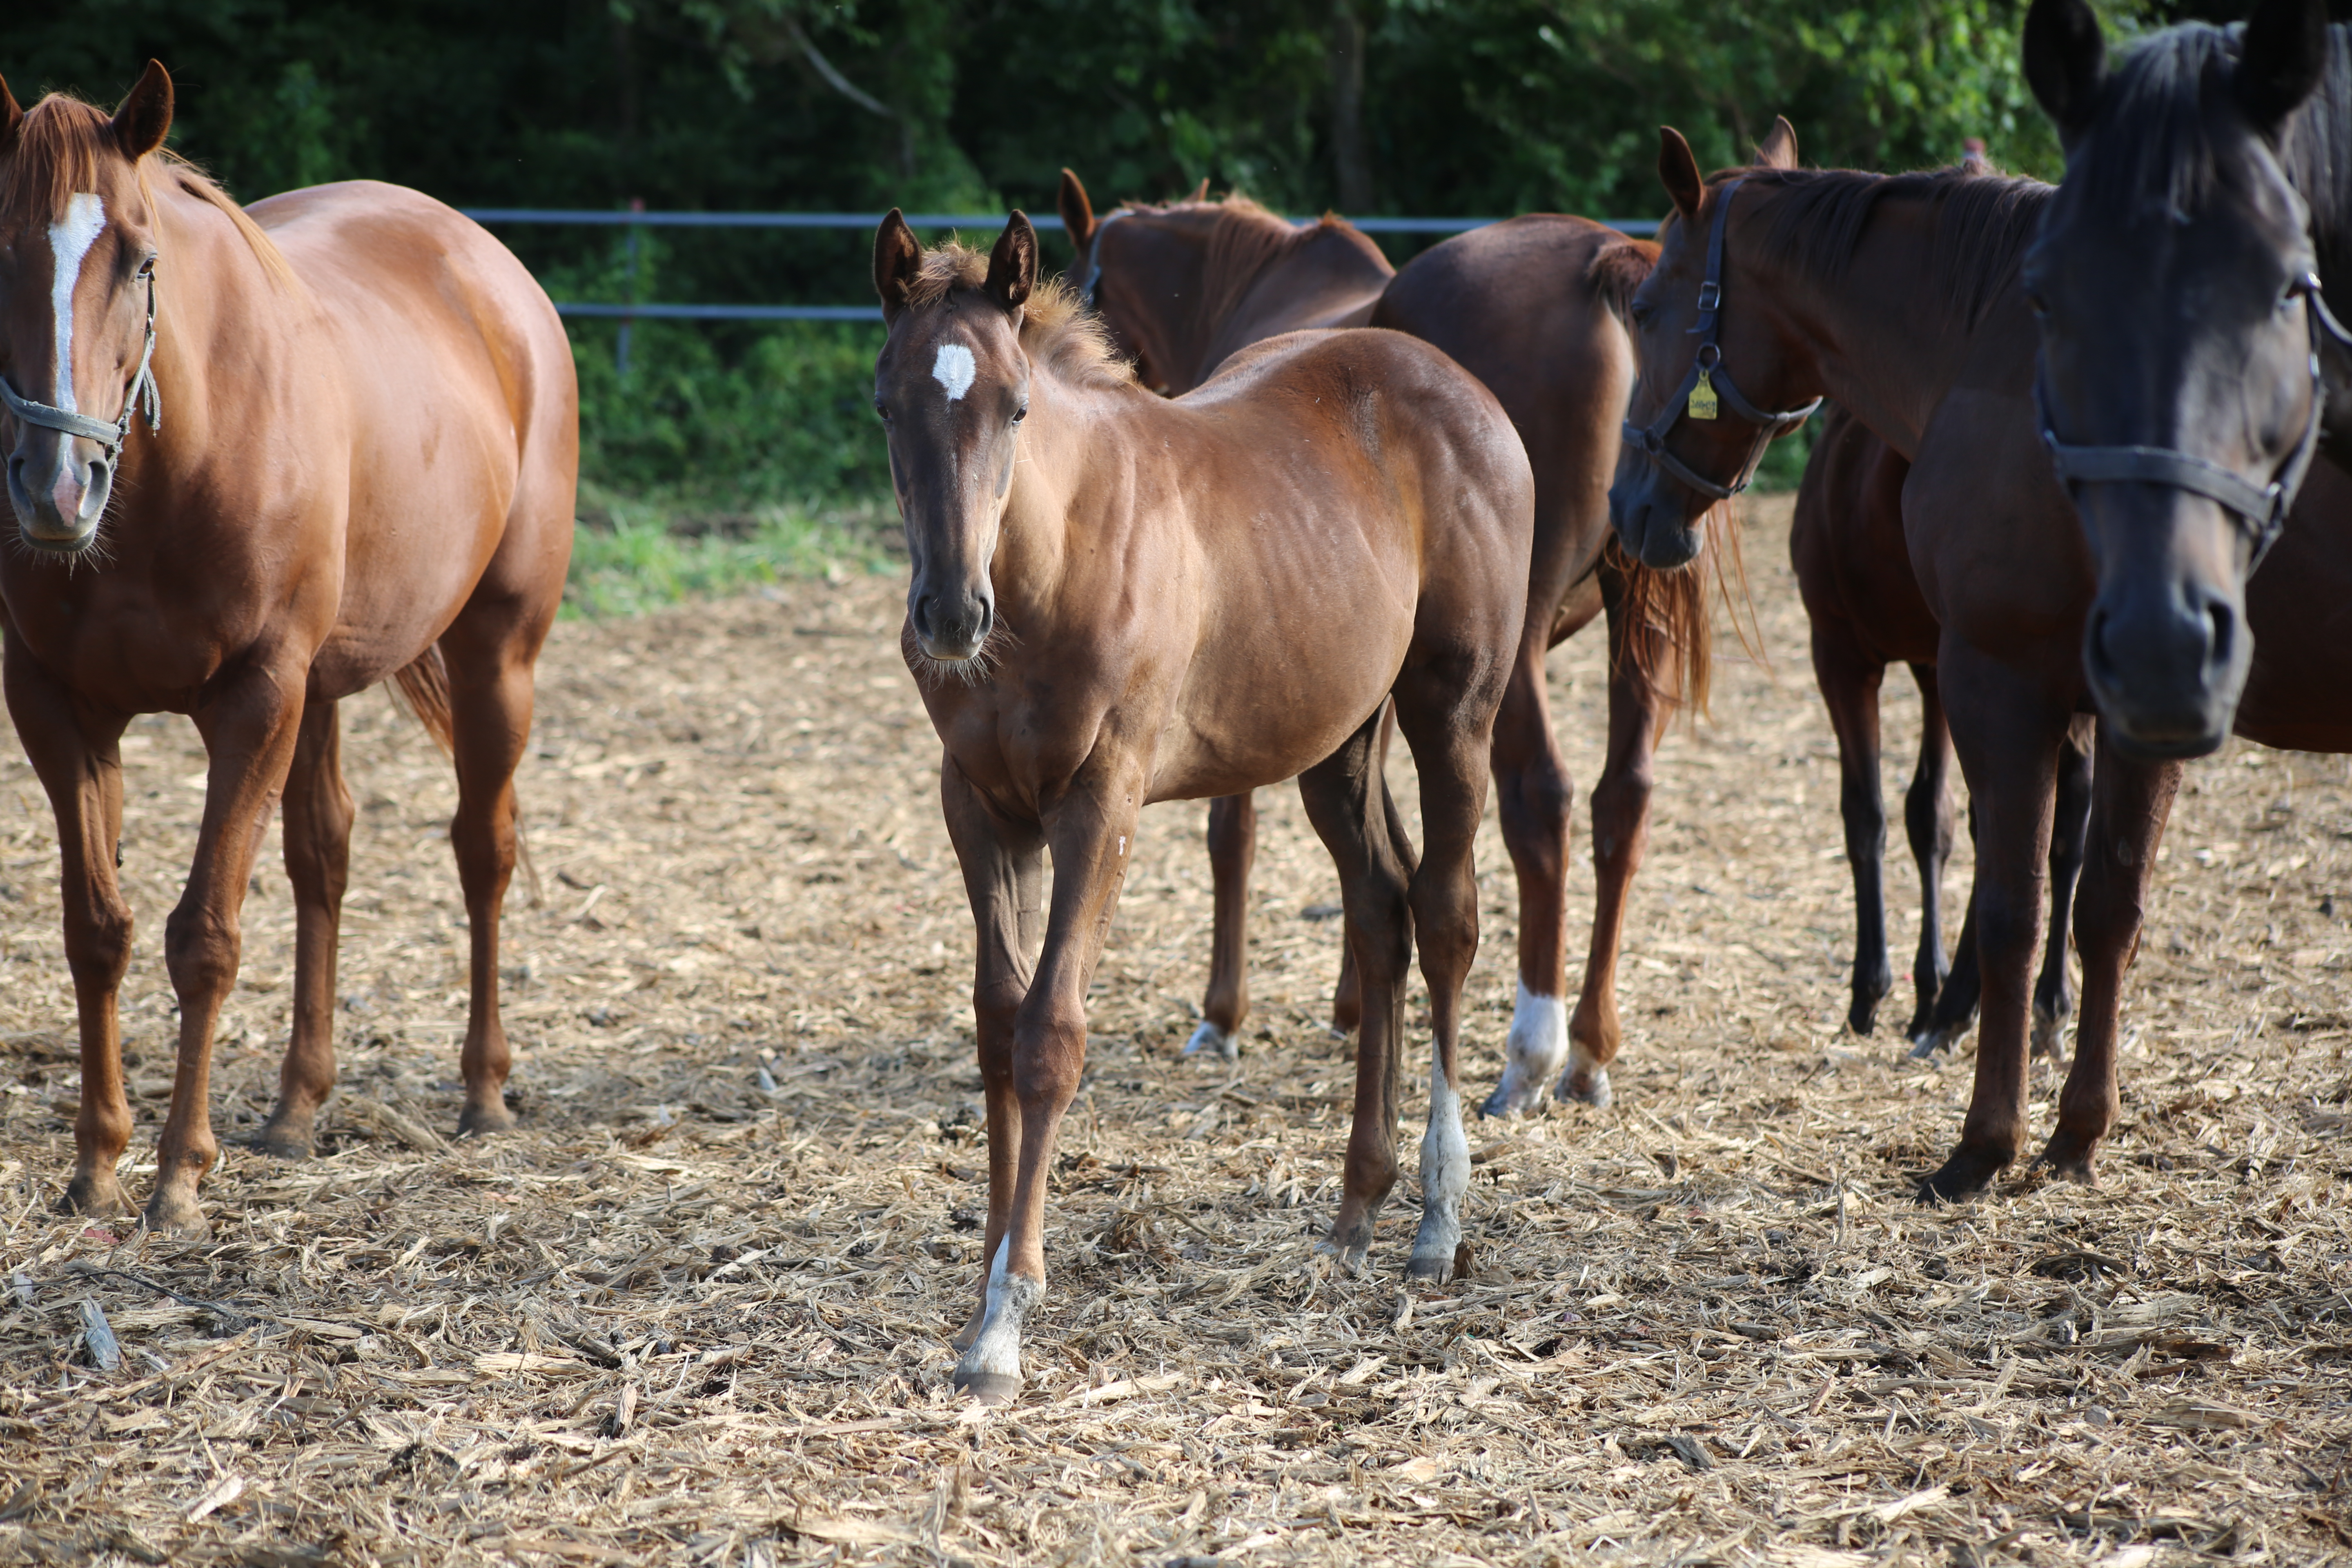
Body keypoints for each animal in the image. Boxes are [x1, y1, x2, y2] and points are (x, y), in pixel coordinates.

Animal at [0, 64, 578, 1241]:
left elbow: (205, 937)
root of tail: (490, 267)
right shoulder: (56, 706)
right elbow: (97, 929)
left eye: (140, 259)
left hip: (497, 654)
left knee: (482, 849)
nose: (55, 486)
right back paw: (297, 1108)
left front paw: (179, 1176)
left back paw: (484, 1093)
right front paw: (98, 1163)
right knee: (325, 856)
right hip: (323, 690)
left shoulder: (254, 694)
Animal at [875, 208, 1533, 1401]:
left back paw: (1435, 1217)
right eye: (887, 405)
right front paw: (980, 1290)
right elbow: (996, 1028)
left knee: (1449, 915)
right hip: (1336, 739)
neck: (1053, 558)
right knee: (1380, 912)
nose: (949, 613)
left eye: (1016, 406)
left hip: (1452, 706)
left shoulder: (1103, 800)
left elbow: (1050, 1033)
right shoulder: (978, 804)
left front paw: (1004, 1324)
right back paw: (1352, 1212)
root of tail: (1457, 385)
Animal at [1063, 169, 1712, 1114]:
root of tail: (1605, 261)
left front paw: (1225, 1017)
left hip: (1508, 654)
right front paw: (1357, 1006)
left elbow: (1234, 833)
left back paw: (1532, 1051)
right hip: (1641, 618)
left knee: (1540, 800)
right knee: (1622, 798)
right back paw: (1591, 1049)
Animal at [1787, 402, 2107, 1053]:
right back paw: (2046, 1000)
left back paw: (1969, 1004)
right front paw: (1923, 988)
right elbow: (1929, 816)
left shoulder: (1840, 656)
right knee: (2066, 823)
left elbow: (1868, 815)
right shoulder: (1929, 670)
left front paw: (1875, 989)